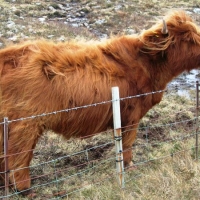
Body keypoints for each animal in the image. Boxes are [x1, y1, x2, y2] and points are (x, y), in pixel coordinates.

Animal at [0, 10, 200, 194]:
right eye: (188, 39)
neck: (147, 65)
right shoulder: (131, 116)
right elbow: (127, 144)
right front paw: (129, 166)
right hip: (25, 125)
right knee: (18, 156)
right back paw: (25, 189)